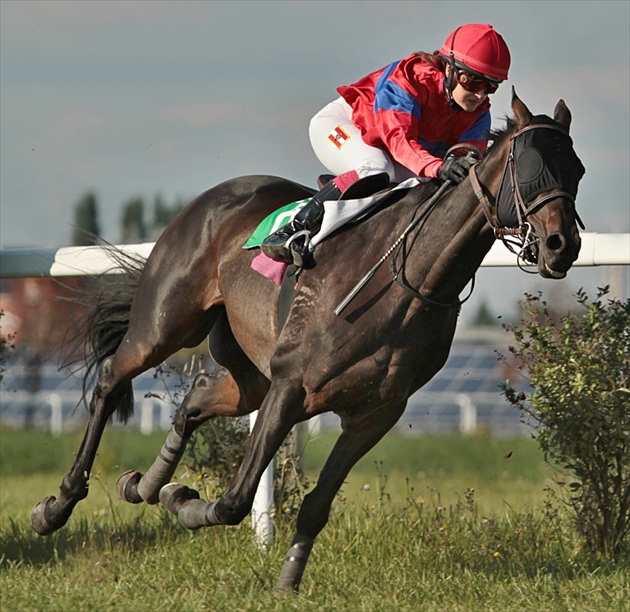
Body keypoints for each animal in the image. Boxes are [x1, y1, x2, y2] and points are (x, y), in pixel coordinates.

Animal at [30, 92, 588, 592]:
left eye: (578, 171)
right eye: (533, 166)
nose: (563, 246)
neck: (407, 276)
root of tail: (214, 196)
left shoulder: (374, 413)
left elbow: (317, 505)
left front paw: (286, 582)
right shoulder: (291, 386)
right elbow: (234, 500)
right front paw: (184, 504)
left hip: (249, 374)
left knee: (195, 401)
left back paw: (144, 483)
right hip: (167, 327)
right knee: (110, 381)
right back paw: (56, 507)